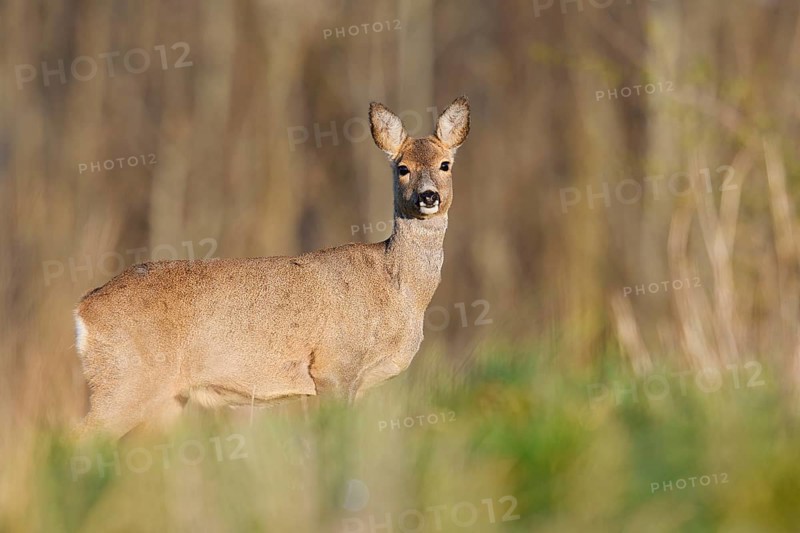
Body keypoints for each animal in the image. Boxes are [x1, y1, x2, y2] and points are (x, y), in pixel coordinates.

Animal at [74, 96, 470, 438]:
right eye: (402, 168)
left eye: (444, 165)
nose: (428, 196)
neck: (398, 290)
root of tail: (83, 309)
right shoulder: (333, 366)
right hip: (126, 380)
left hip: (166, 399)